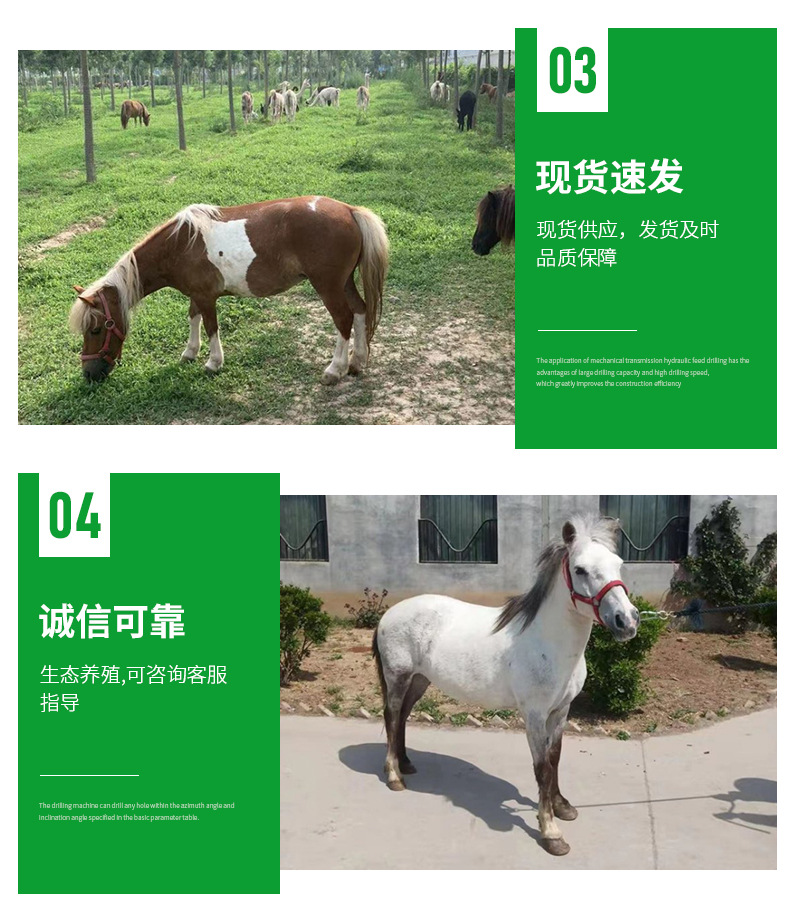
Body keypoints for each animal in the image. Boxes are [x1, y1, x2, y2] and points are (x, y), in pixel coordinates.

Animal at [68, 197, 389, 385]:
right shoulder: (196, 295)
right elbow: (193, 318)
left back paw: (336, 369)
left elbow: (211, 327)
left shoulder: (207, 297)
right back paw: (357, 361)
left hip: (328, 285)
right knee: (360, 311)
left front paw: (213, 362)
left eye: (96, 329)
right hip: (344, 282)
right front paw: (189, 352)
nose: (89, 374)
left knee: (343, 319)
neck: (180, 245)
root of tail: (349, 210)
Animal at [373, 516, 640, 856]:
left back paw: (406, 764)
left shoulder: (561, 711)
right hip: (398, 677)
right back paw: (394, 775)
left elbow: (555, 759)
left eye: (618, 564)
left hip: (420, 680)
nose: (627, 621)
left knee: (403, 717)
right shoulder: (535, 715)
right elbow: (542, 767)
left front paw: (561, 806)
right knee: (392, 717)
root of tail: (389, 614)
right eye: (580, 569)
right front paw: (550, 832)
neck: (548, 642)